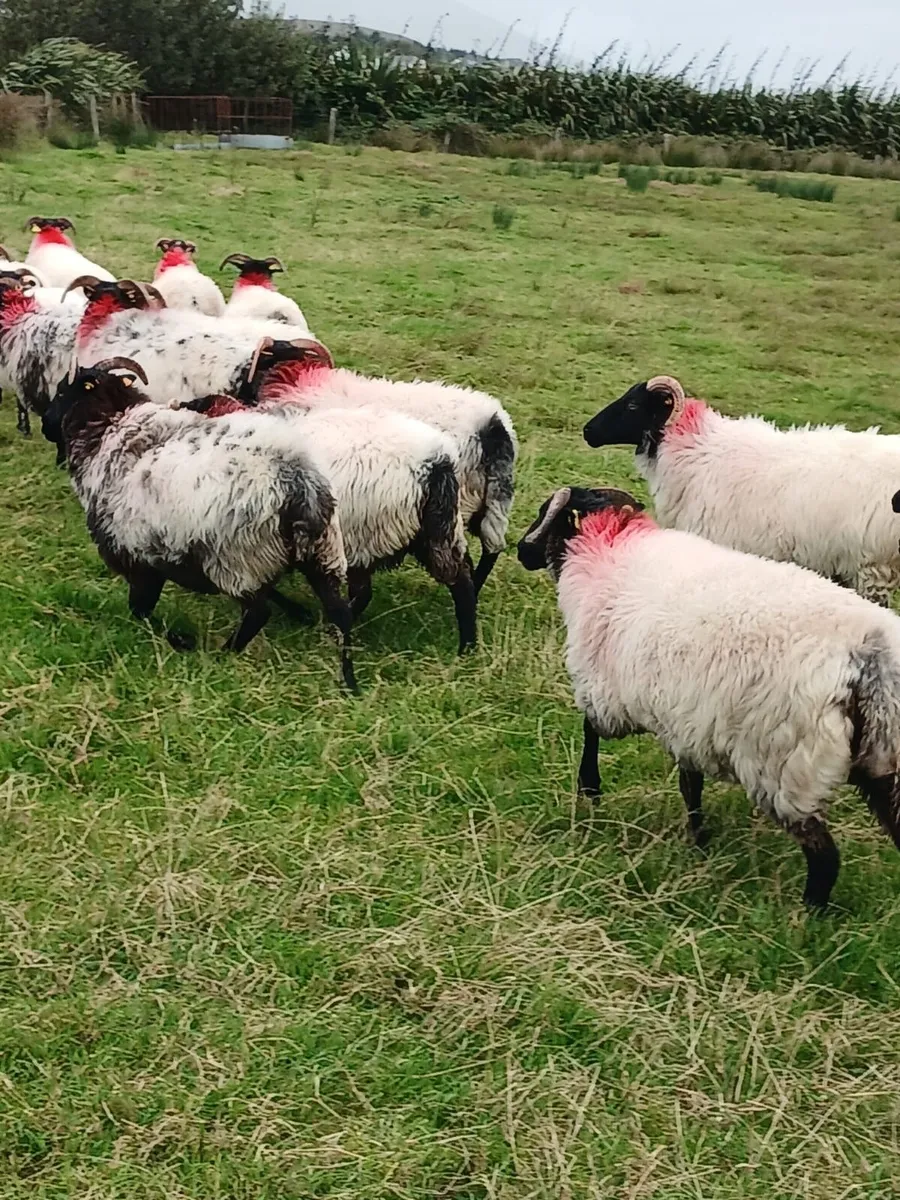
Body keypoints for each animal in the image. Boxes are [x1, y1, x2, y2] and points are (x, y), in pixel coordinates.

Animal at [40, 358, 356, 688]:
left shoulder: (137, 557)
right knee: (340, 613)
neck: (109, 425)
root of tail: (297, 483)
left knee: (258, 613)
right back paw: (349, 679)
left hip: (237, 558)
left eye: (62, 391)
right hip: (321, 554)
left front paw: (180, 639)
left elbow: (140, 611)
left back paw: (223, 652)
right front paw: (300, 612)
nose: (46, 425)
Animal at [518, 484, 900, 910]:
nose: (520, 550)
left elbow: (589, 732)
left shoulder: (605, 693)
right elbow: (690, 785)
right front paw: (698, 839)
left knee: (824, 856)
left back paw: (809, 916)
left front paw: (589, 788)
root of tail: (867, 654)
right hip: (883, 760)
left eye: (543, 512)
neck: (610, 543)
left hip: (785, 764)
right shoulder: (687, 721)